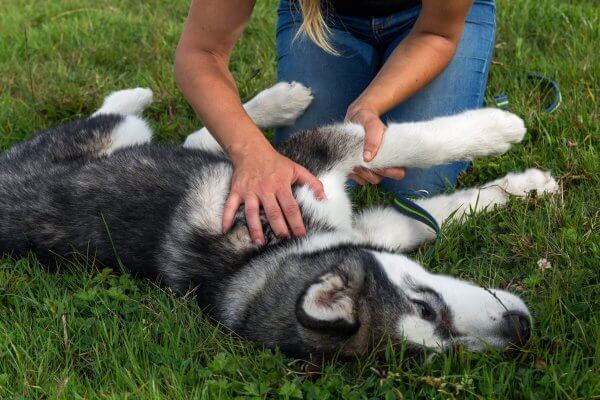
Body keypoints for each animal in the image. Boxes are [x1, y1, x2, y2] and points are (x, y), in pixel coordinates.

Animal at [2, 83, 560, 358]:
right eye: (429, 321)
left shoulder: (347, 210)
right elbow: (403, 142)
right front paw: (500, 129)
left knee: (196, 140)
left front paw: (524, 183)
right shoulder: (318, 161)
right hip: (100, 137)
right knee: (120, 116)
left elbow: (434, 196)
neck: (267, 257)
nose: (521, 328)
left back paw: (277, 100)